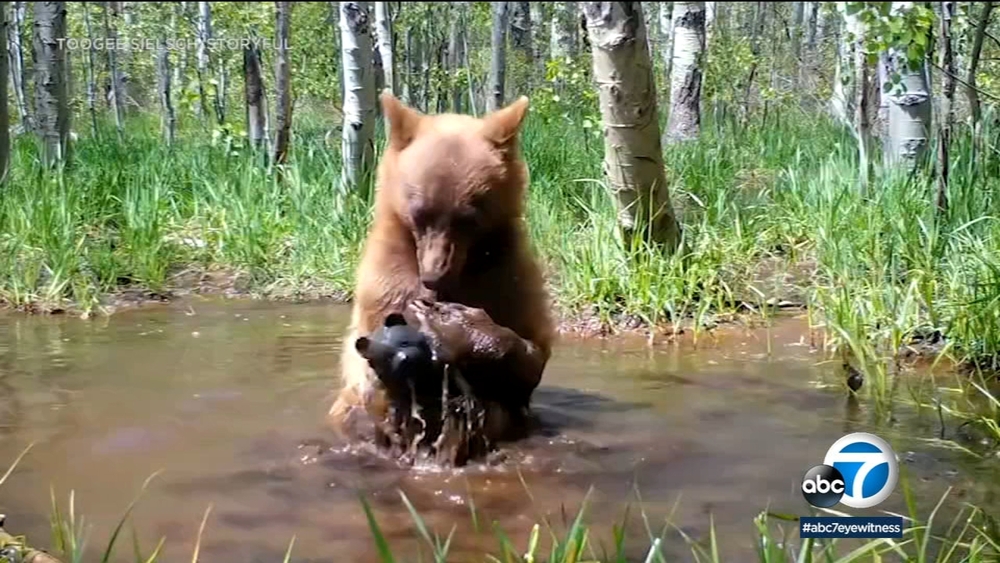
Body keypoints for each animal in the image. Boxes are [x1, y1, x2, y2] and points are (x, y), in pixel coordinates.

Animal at [327, 90, 556, 466]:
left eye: (468, 218)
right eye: (420, 213)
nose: (434, 275)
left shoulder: (506, 277)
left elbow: (529, 354)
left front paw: (458, 325)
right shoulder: (387, 280)